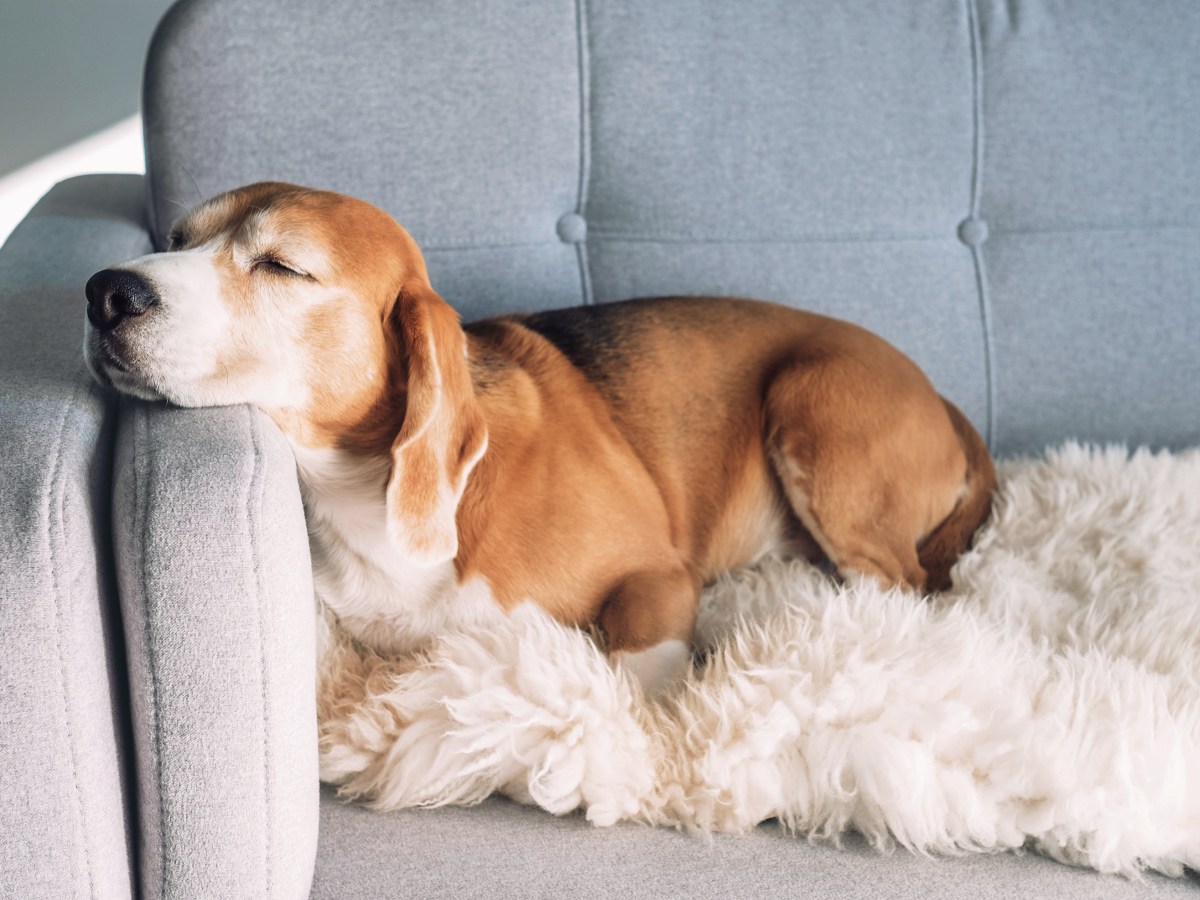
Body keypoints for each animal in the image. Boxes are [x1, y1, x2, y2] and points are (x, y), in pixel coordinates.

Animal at [84, 180, 993, 696]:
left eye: (282, 266)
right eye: (176, 239)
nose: (104, 292)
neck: (359, 492)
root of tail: (943, 399)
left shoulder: (657, 577)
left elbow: (637, 670)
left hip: (812, 405)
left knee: (903, 585)